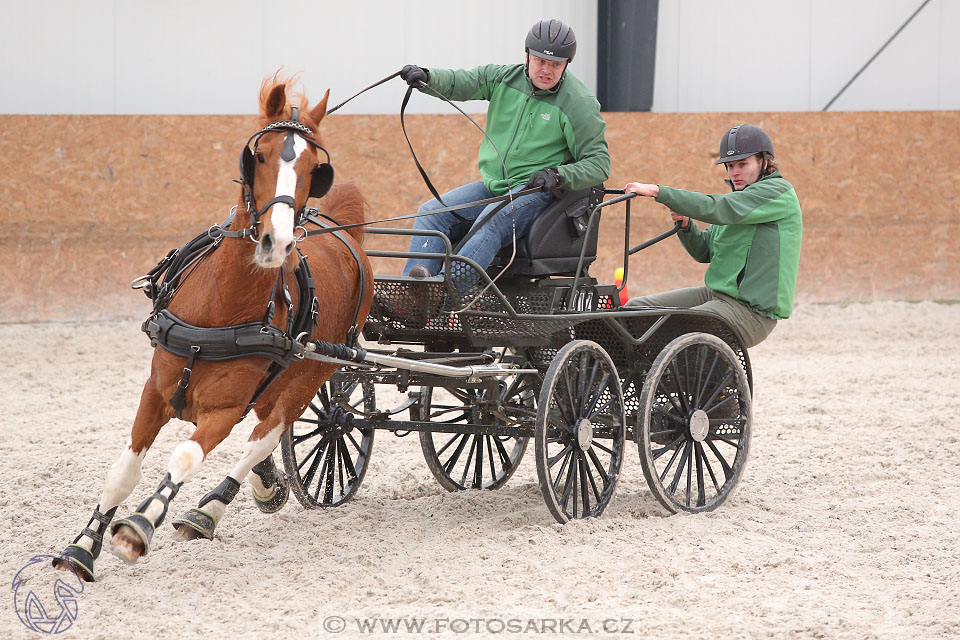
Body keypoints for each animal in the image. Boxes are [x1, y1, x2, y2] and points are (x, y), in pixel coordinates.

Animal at [52, 77, 376, 584]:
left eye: (314, 167)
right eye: (258, 155)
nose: (277, 242)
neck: (217, 313)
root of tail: (345, 230)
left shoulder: (224, 409)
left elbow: (186, 457)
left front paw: (138, 528)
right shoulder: (155, 390)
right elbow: (122, 472)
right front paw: (82, 547)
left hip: (314, 373)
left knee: (267, 434)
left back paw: (210, 511)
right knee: (264, 431)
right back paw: (263, 487)